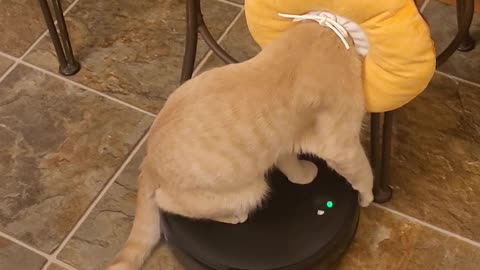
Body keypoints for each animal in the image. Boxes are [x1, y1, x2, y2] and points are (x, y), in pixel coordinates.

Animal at [107, 22, 374, 270]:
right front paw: (367, 198)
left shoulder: (282, 141)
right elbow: (363, 174)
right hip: (251, 190)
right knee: (168, 204)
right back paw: (234, 215)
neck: (323, 32)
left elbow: (291, 165)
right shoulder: (340, 146)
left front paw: (303, 176)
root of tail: (148, 161)